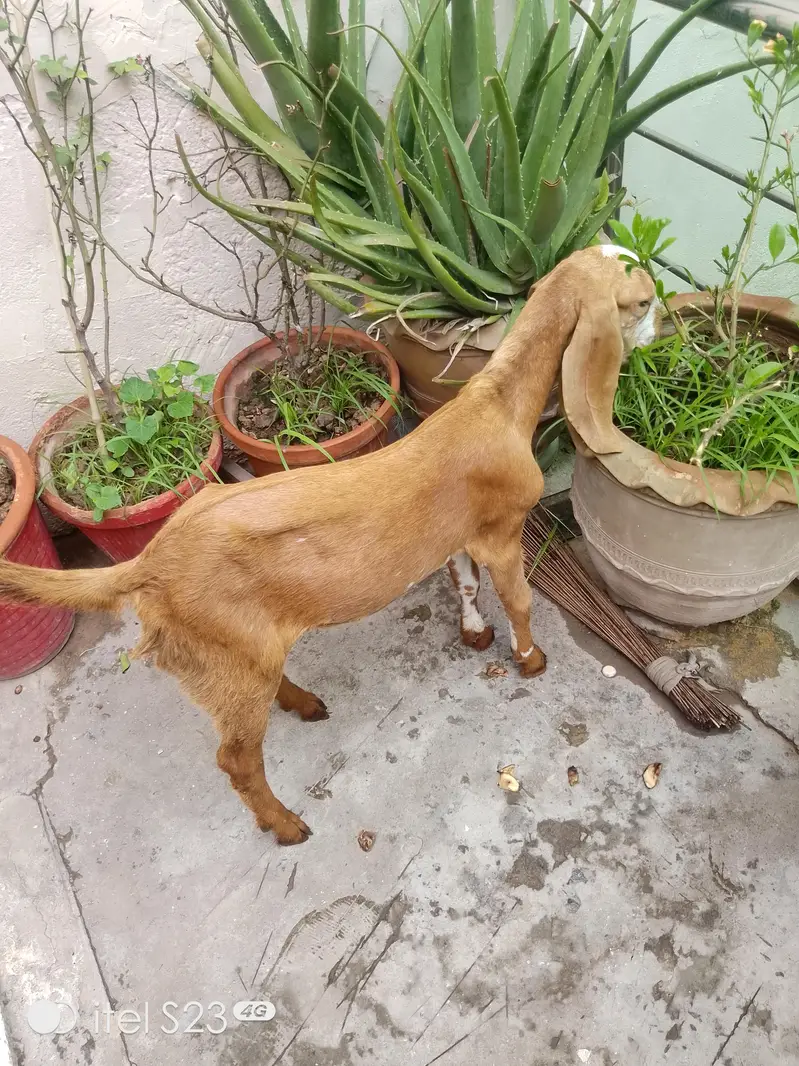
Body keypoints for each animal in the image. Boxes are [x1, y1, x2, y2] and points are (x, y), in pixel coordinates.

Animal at [0, 248, 656, 844]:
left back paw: (303, 703)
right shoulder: (503, 529)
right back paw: (285, 825)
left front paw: (475, 635)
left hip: (243, 651)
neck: (496, 403)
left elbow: (464, 584)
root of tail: (149, 564)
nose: (664, 328)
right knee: (235, 758)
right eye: (642, 301)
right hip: (227, 657)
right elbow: (518, 599)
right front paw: (530, 660)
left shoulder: (459, 534)